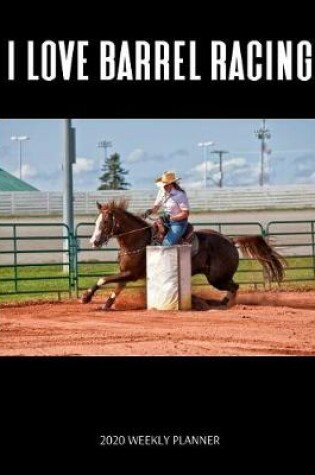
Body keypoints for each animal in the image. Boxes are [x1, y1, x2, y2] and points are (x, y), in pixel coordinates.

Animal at [82, 199, 286, 310]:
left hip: (217, 278)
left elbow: (103, 279)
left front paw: (86, 297)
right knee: (233, 287)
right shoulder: (126, 274)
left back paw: (217, 303)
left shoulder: (131, 274)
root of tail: (230, 240)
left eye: (105, 221)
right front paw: (105, 305)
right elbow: (115, 288)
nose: (93, 242)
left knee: (234, 287)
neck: (137, 239)